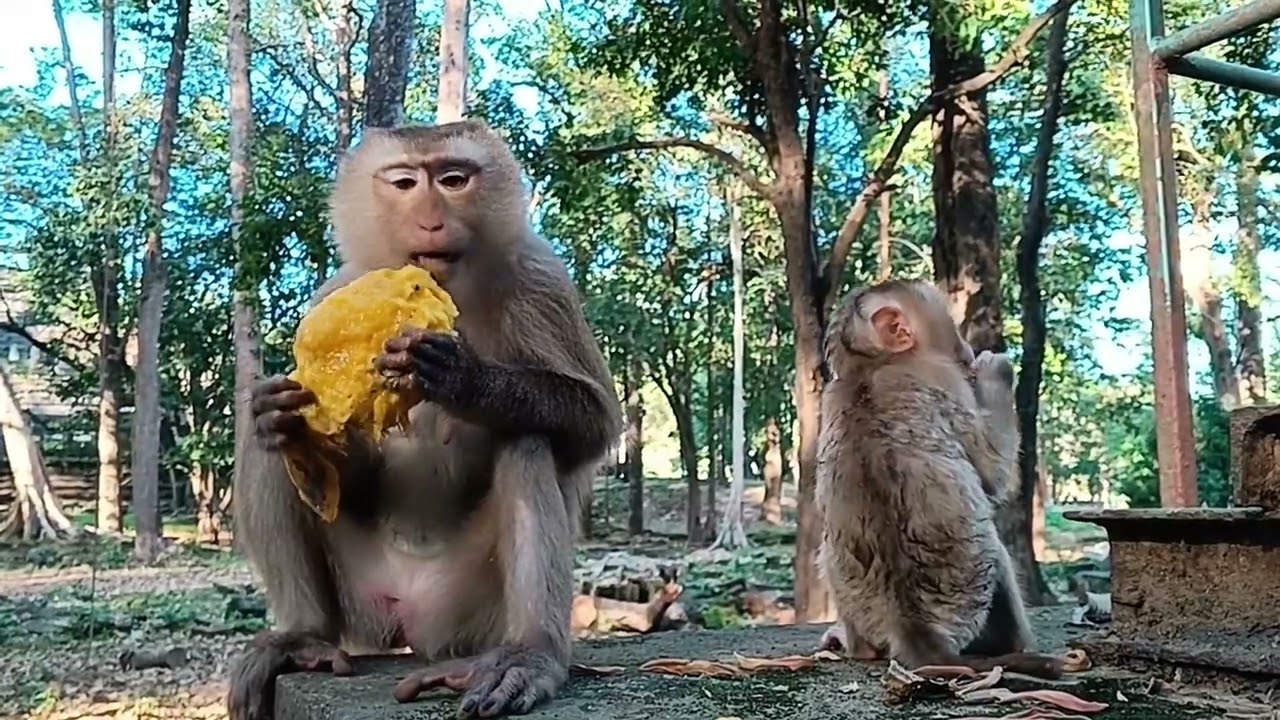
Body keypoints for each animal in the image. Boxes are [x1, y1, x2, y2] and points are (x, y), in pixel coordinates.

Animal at [226, 120, 622, 720]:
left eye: (453, 180)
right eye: (406, 183)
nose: (432, 218)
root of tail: (411, 621)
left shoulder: (541, 277)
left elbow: (595, 421)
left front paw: (464, 379)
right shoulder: (334, 290)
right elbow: (332, 450)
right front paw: (288, 419)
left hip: (469, 609)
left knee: (527, 439)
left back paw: (530, 653)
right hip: (360, 597)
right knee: (266, 447)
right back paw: (304, 635)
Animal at [814, 278, 1064, 679]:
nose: (966, 346)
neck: (869, 365)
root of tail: (913, 628)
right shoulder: (943, 376)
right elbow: (991, 472)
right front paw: (996, 369)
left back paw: (855, 645)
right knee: (999, 553)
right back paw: (1016, 644)